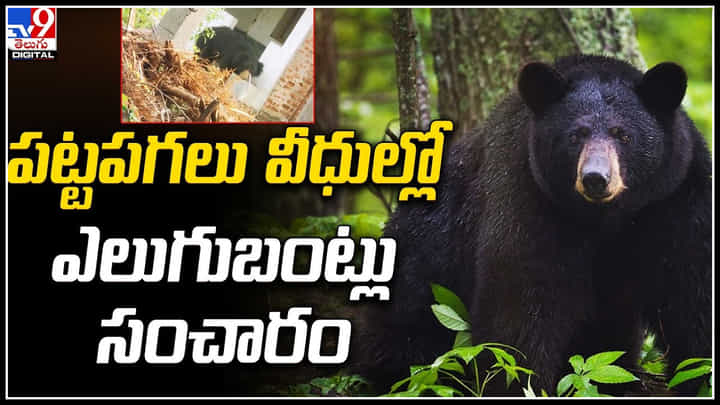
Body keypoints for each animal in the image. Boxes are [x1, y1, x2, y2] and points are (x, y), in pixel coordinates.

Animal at [353, 55, 711, 396]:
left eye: (623, 134)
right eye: (575, 135)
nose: (596, 178)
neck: (604, 218)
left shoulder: (675, 198)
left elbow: (692, 293)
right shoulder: (527, 196)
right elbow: (521, 303)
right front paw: (520, 384)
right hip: (423, 252)